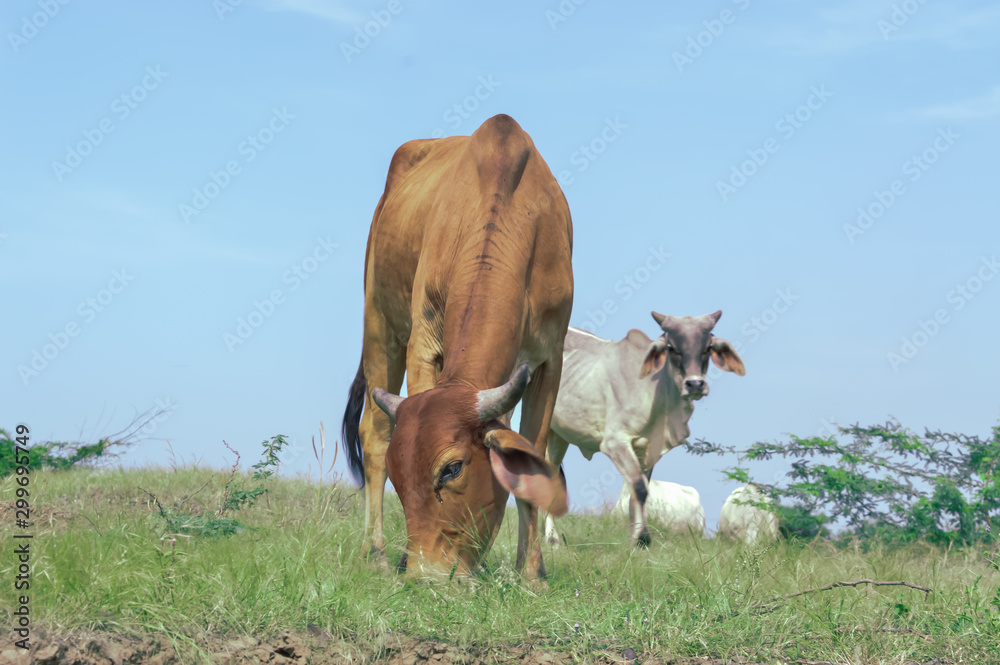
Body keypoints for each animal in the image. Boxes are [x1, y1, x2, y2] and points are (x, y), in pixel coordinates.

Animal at [340, 114, 572, 580]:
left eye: (452, 468)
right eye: (398, 473)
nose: (424, 576)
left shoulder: (550, 357)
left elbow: (535, 456)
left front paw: (531, 573)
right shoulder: (421, 340)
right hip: (378, 324)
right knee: (373, 433)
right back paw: (376, 552)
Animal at [544, 310, 748, 544]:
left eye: (707, 348)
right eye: (671, 347)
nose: (695, 384)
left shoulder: (648, 448)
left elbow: (639, 493)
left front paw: (639, 538)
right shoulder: (615, 442)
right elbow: (639, 488)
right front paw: (641, 538)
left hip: (558, 435)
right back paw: (551, 538)